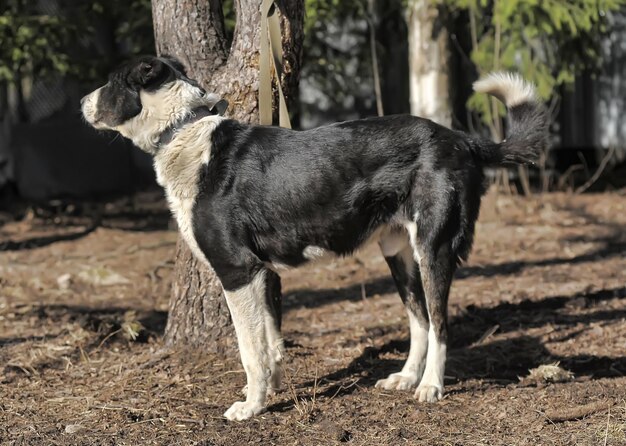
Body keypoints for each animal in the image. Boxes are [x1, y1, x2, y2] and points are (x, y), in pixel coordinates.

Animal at [83, 55, 544, 418]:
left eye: (112, 82)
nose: (81, 102)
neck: (183, 131)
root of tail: (461, 139)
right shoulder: (263, 273)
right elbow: (270, 342)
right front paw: (271, 389)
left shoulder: (237, 271)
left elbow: (250, 350)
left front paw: (251, 406)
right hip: (398, 252)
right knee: (421, 319)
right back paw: (407, 377)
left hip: (433, 249)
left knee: (441, 323)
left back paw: (431, 386)